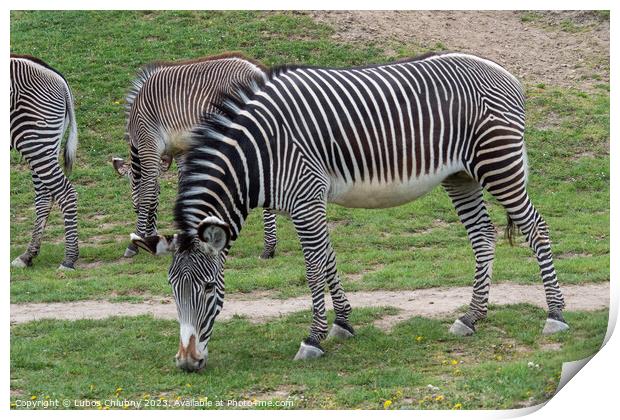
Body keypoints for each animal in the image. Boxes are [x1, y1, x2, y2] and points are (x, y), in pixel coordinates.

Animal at [10, 55, 80, 270]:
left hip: (35, 141)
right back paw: (27, 255)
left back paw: (69, 259)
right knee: (44, 197)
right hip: (43, 144)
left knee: (65, 193)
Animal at [112, 53, 280, 260]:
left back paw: (269, 247)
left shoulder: (148, 143)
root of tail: (260, 72)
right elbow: (181, 188)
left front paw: (135, 244)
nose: (151, 238)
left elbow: (147, 192)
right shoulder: (180, 150)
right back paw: (269, 246)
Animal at [131, 52, 568, 370]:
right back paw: (472, 317)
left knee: (537, 229)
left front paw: (313, 338)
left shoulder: (306, 196)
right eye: (171, 289)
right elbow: (328, 258)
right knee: (482, 236)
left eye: (207, 288)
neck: (260, 151)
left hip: (498, 163)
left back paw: (556, 314)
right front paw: (342, 323)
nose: (187, 363)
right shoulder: (306, 201)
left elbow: (313, 268)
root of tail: (502, 70)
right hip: (460, 175)